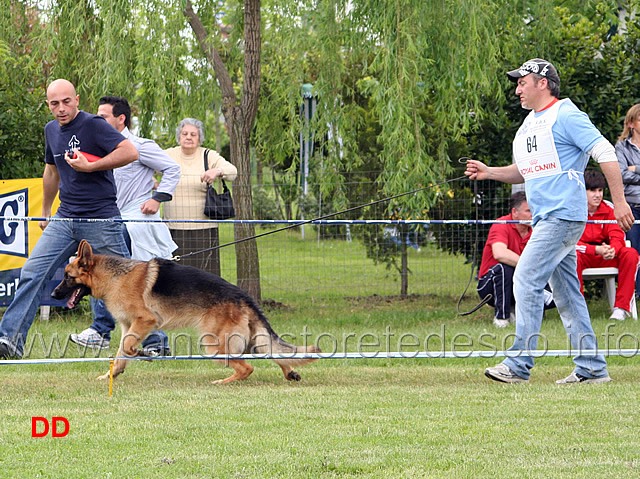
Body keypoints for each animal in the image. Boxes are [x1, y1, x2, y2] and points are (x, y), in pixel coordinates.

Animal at [51, 242, 318, 384]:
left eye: (67, 277)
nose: (53, 295)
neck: (115, 277)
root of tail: (243, 296)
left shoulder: (146, 320)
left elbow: (127, 348)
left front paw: (144, 354)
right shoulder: (129, 326)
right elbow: (120, 354)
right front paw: (112, 375)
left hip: (213, 344)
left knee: (247, 368)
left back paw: (222, 382)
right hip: (250, 340)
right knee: (276, 354)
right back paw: (290, 372)